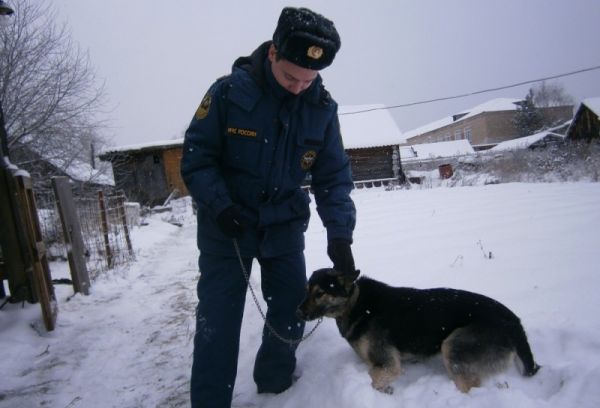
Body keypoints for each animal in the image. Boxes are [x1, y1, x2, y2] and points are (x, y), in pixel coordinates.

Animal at [298, 270, 540, 394]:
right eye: (307, 290)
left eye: (320, 293)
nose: (297, 312)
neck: (355, 303)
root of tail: (514, 322)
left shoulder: (389, 364)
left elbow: (374, 377)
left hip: (452, 346)